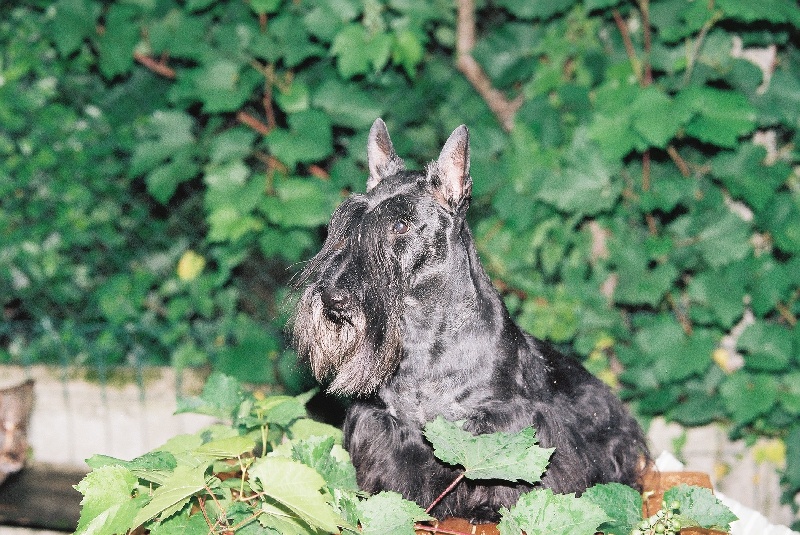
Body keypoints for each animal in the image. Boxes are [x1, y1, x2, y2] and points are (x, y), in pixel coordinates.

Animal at [294, 118, 648, 524]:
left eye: (400, 225)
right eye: (346, 224)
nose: (333, 300)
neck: (422, 337)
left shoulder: (507, 422)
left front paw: (488, 508)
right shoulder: (385, 423)